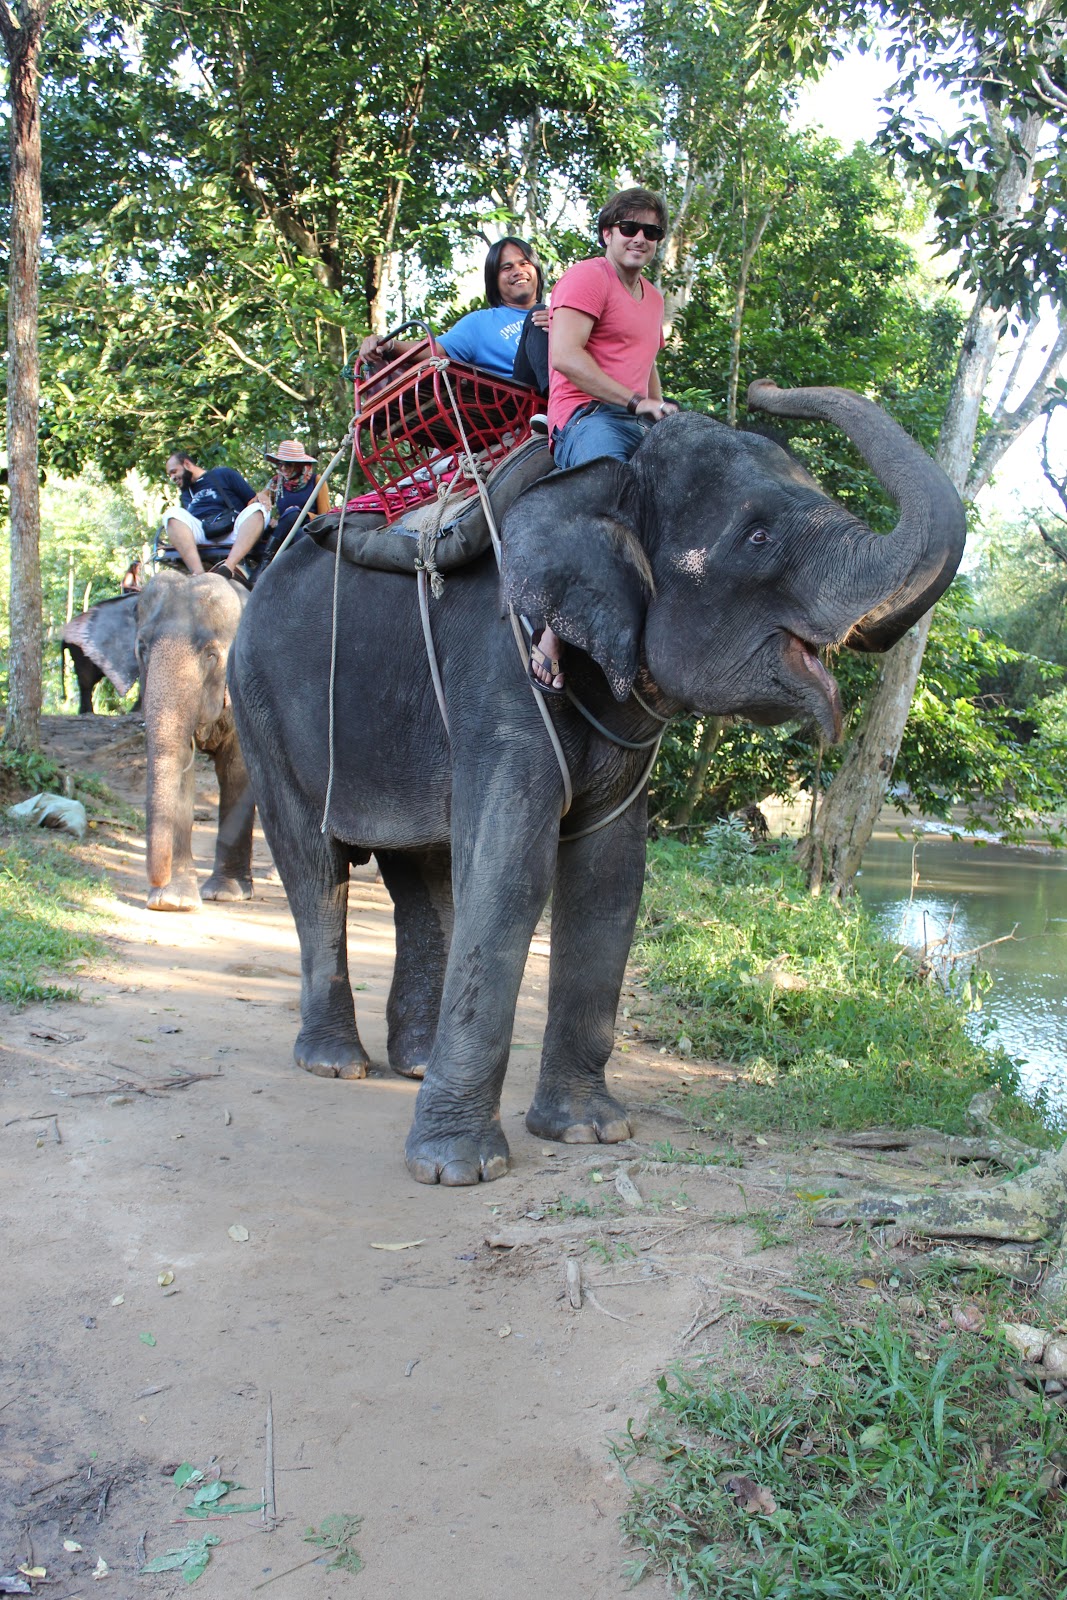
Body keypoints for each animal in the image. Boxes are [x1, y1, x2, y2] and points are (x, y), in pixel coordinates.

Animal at [137, 570, 255, 911]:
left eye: (211, 655)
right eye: (142, 648)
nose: (156, 879)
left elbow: (237, 771)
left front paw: (225, 893)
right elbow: (180, 766)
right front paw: (172, 902)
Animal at [228, 380, 966, 1186]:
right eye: (758, 537)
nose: (764, 391)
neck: (613, 478)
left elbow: (611, 880)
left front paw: (588, 1133)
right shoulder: (504, 666)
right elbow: (513, 872)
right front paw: (457, 1170)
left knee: (420, 873)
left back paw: (414, 1064)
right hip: (258, 703)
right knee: (315, 864)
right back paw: (336, 1065)